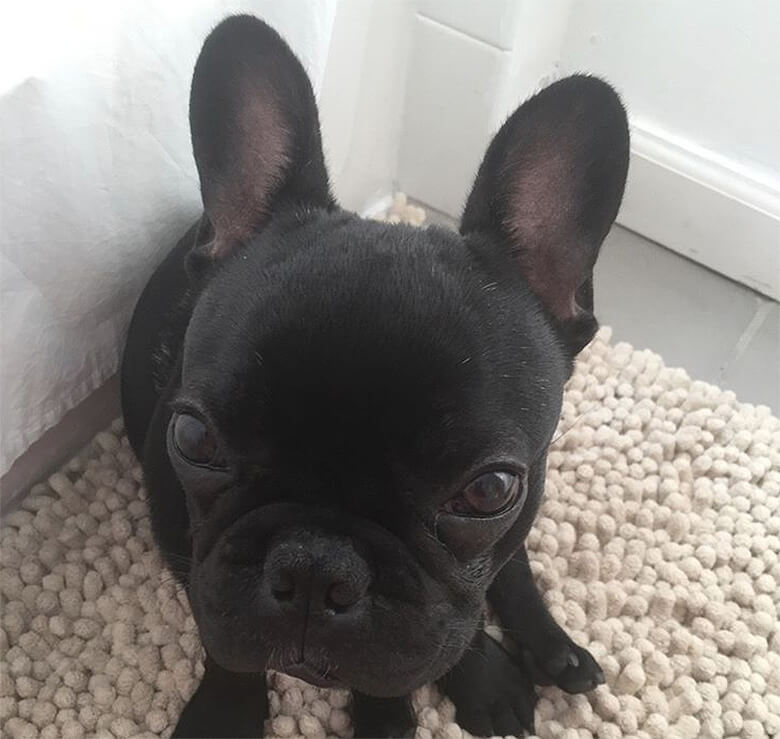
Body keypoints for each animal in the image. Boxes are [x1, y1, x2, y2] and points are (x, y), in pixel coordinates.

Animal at [122, 13, 632, 739]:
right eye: (194, 439)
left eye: (490, 490)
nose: (315, 567)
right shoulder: (192, 563)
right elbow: (226, 644)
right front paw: (224, 712)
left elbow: (437, 634)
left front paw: (420, 704)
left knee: (507, 574)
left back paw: (550, 653)